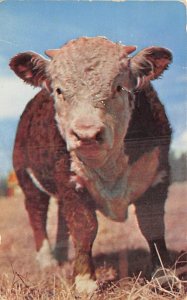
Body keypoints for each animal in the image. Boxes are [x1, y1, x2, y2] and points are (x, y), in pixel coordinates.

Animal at [9, 37, 172, 292]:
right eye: (59, 90)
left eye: (118, 87)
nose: (86, 134)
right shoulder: (70, 182)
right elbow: (84, 227)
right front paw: (85, 281)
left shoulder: (158, 178)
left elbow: (152, 226)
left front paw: (163, 275)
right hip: (27, 180)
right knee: (37, 213)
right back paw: (47, 261)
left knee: (60, 218)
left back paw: (63, 256)